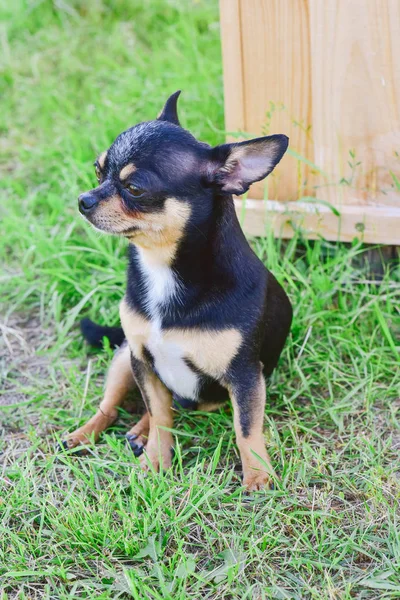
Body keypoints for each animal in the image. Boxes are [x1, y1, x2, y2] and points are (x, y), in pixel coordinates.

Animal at [64, 91, 292, 490]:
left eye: (134, 188)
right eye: (97, 170)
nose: (84, 199)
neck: (163, 270)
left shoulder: (245, 377)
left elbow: (246, 428)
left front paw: (258, 476)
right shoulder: (142, 359)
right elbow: (160, 415)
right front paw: (156, 461)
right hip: (123, 359)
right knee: (112, 407)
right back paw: (87, 434)